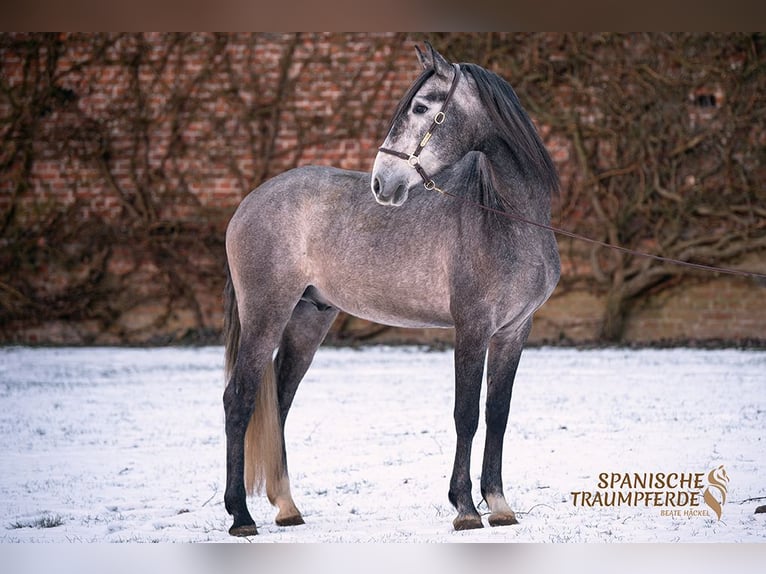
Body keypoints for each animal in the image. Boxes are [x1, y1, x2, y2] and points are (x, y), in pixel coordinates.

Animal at [220, 42, 560, 536]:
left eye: (420, 108)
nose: (383, 183)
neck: (506, 217)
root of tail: (247, 203)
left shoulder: (514, 332)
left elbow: (497, 414)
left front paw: (499, 504)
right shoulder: (472, 328)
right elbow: (465, 415)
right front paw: (465, 508)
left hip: (307, 320)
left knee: (279, 403)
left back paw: (286, 507)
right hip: (266, 315)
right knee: (239, 400)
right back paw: (241, 516)